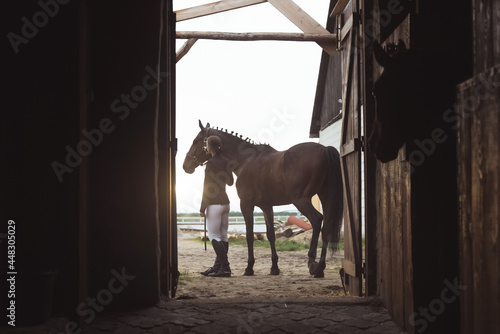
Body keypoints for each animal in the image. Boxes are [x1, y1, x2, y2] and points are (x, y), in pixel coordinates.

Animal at [184, 121, 344, 278]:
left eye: (195, 141)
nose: (185, 165)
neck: (245, 161)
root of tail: (323, 149)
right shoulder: (267, 206)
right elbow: (271, 235)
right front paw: (274, 268)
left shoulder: (246, 204)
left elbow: (249, 235)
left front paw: (249, 268)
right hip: (325, 197)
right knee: (326, 227)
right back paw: (320, 268)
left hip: (301, 200)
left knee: (317, 220)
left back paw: (313, 264)